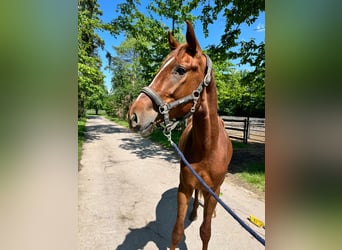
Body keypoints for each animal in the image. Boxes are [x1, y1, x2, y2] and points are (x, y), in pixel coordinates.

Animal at [127, 21, 232, 250]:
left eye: (180, 70)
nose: (133, 116)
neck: (207, 147)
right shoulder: (184, 188)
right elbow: (176, 232)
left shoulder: (212, 192)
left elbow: (206, 231)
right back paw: (193, 214)